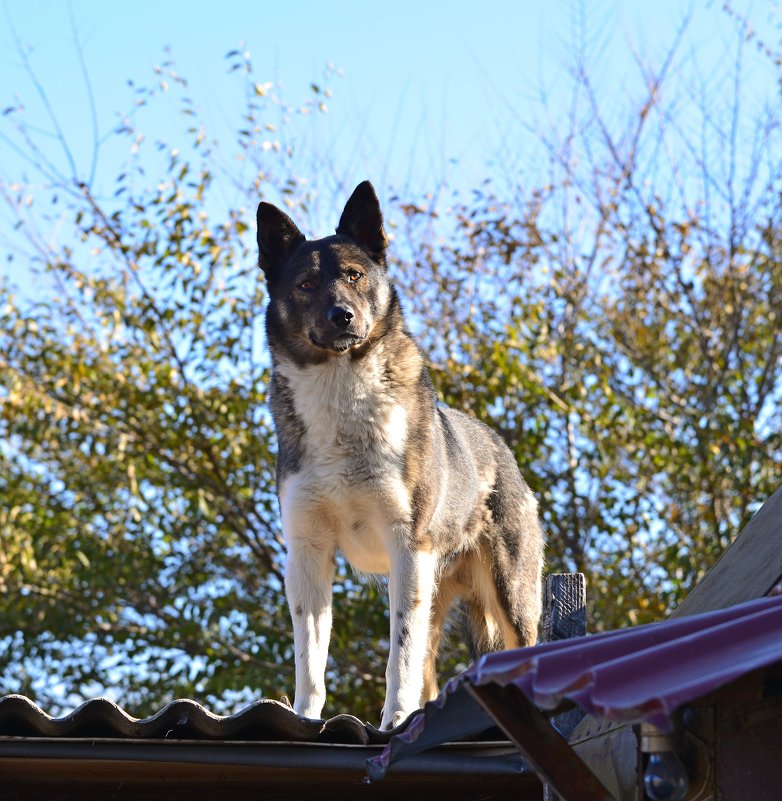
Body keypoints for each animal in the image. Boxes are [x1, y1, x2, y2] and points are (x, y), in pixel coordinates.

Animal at [258, 178, 544, 728]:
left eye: (354, 275)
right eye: (306, 284)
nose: (342, 315)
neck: (341, 398)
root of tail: (504, 453)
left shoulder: (406, 547)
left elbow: (398, 657)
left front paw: (392, 722)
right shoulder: (308, 554)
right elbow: (310, 660)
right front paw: (304, 719)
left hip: (505, 596)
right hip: (434, 595)